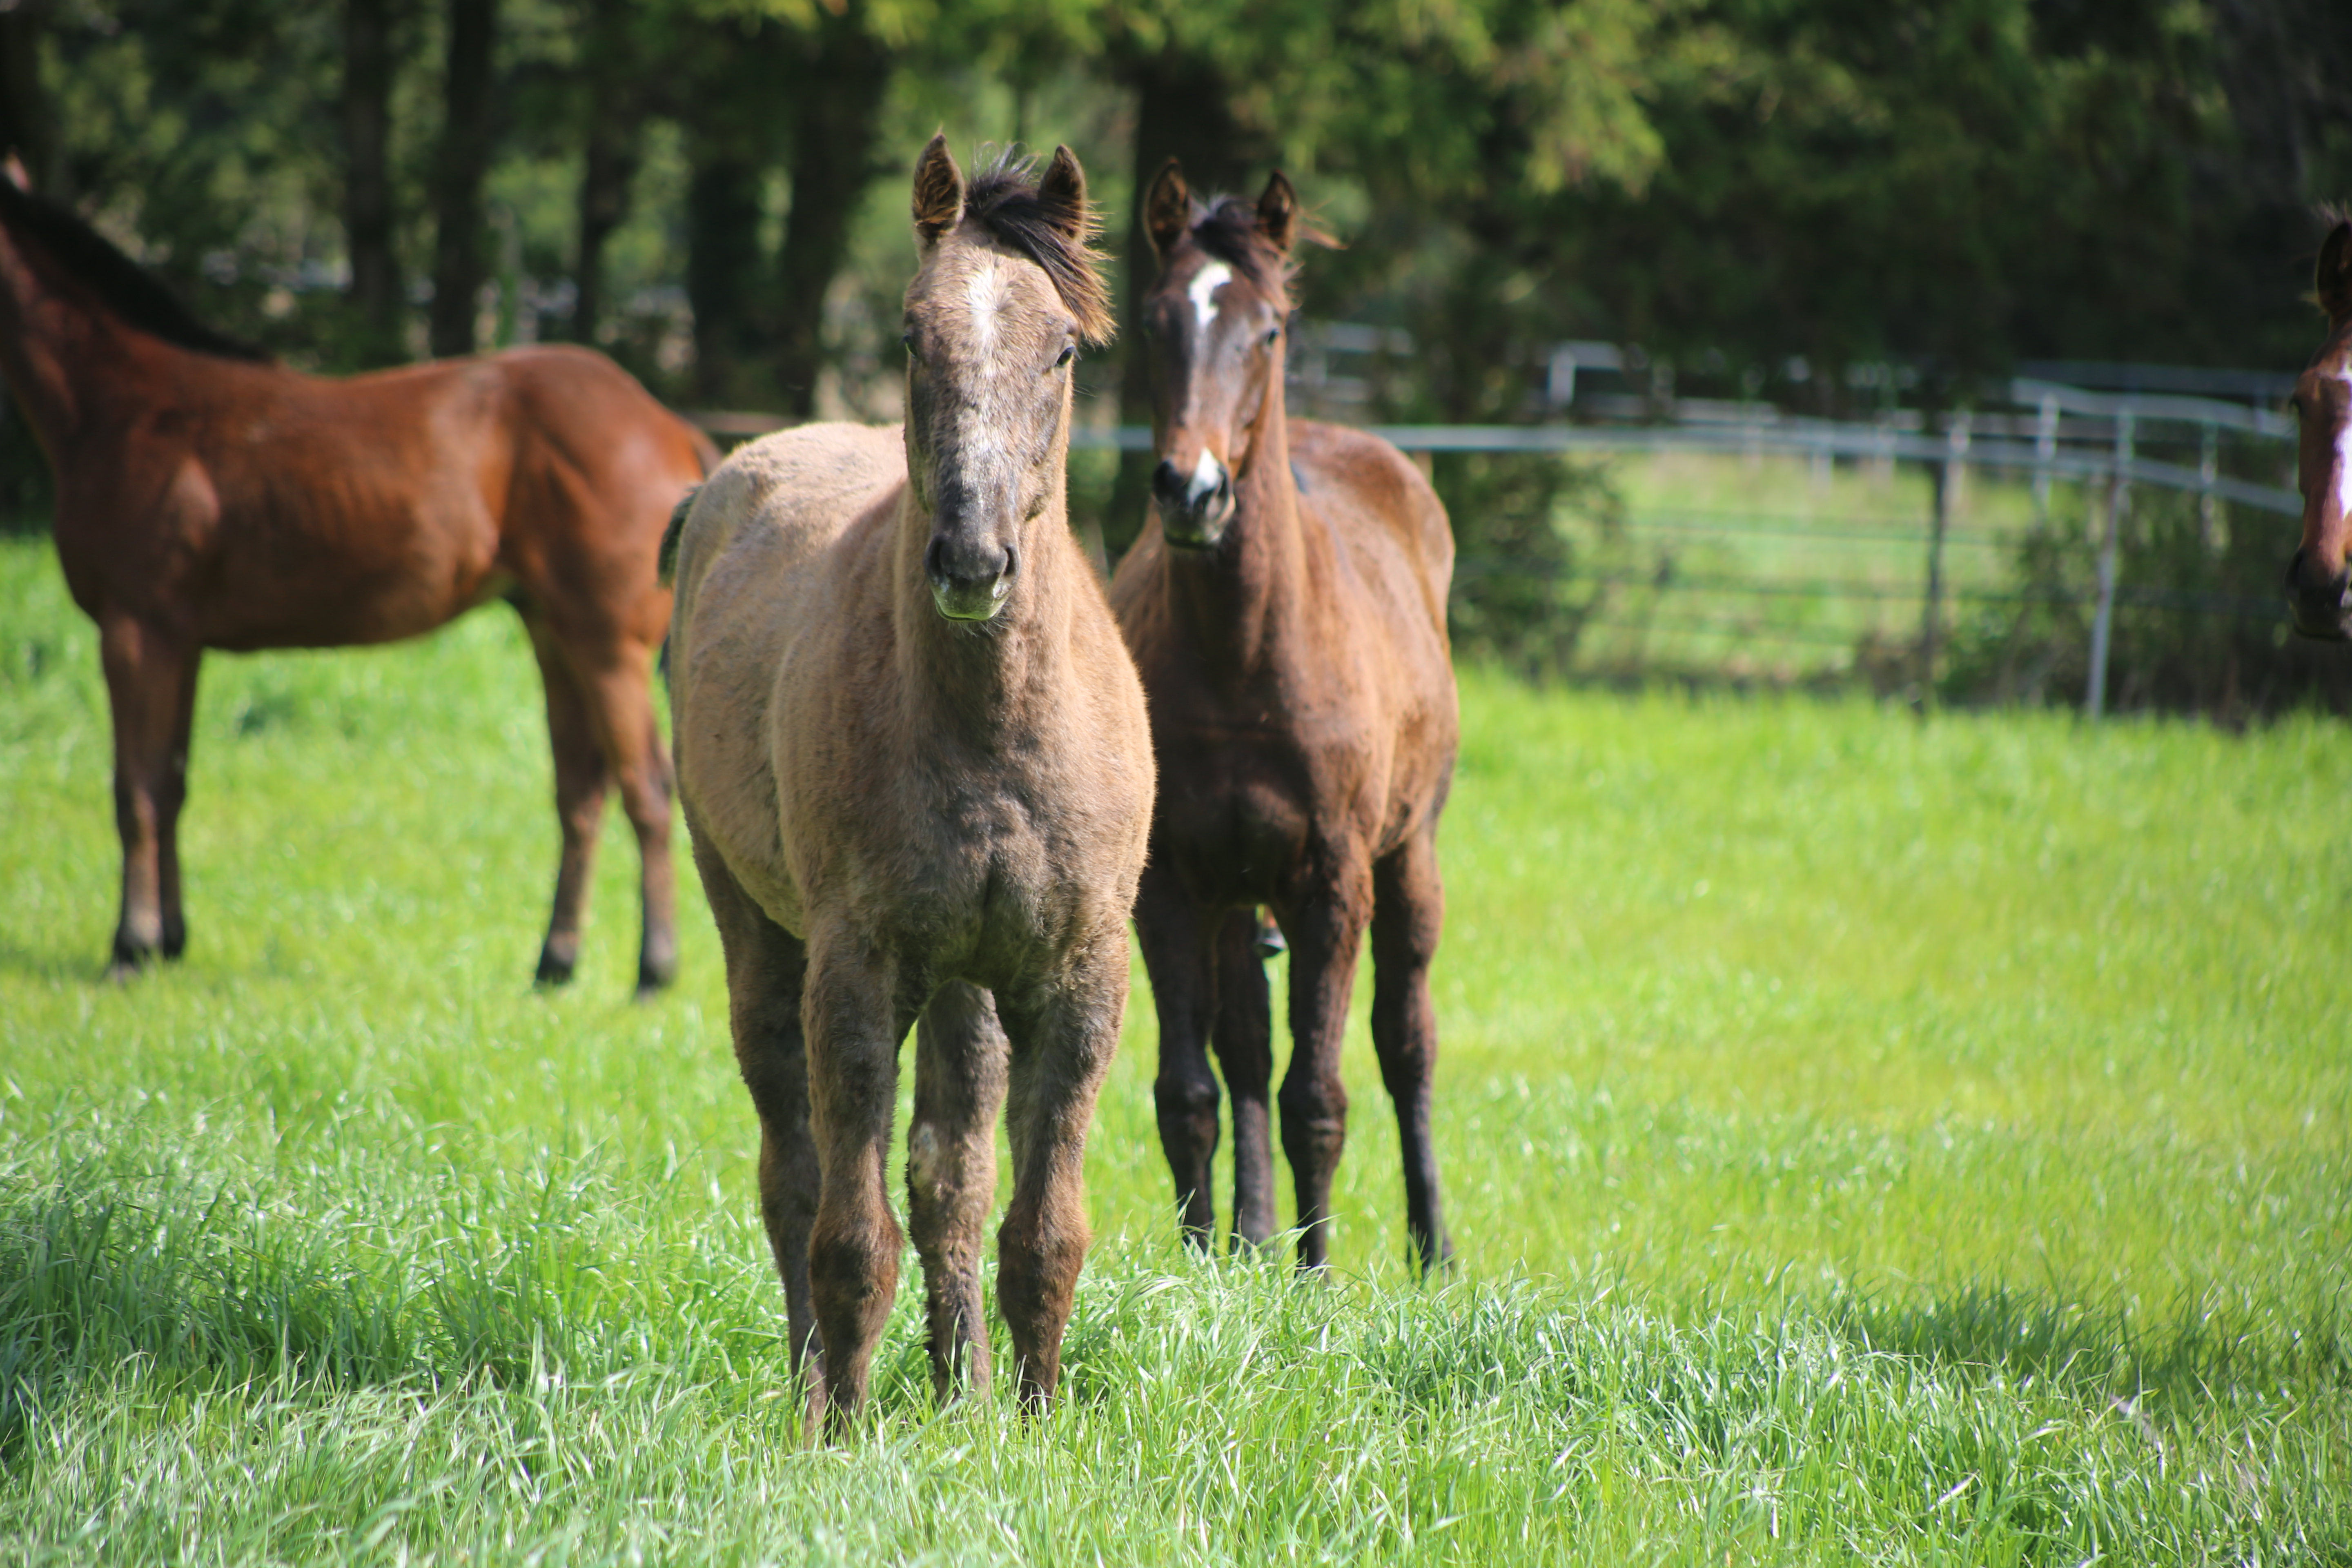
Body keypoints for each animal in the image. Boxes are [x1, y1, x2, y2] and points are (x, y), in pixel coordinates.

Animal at [0, 175, 710, 992]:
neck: (127, 409)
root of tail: (668, 426)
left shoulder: (134, 629)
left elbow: (135, 791)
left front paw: (131, 945)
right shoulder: (182, 642)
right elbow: (171, 783)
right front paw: (170, 940)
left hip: (607, 645)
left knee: (647, 789)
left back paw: (654, 968)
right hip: (554, 635)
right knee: (581, 793)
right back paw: (555, 963)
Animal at [668, 138, 1152, 1439]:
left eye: (1063, 348)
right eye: (909, 333)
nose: (973, 562)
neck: (990, 735)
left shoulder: (1077, 977)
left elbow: (1039, 1229)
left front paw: (1027, 1426)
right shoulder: (858, 967)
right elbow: (848, 1232)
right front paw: (838, 1432)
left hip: (968, 983)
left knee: (951, 1175)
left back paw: (962, 1390)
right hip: (757, 931)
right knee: (793, 1176)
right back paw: (813, 1387)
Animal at [1110, 162, 1458, 1278]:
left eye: (1266, 330)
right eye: (1155, 318)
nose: (1193, 490)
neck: (1244, 659)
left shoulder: (1331, 877)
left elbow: (1321, 1090)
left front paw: (1316, 1276)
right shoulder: (1173, 882)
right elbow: (1194, 1086)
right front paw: (1202, 1261)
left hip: (1407, 856)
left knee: (1405, 1040)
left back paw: (1429, 1247)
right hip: (1236, 892)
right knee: (1245, 1048)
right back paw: (1253, 1240)